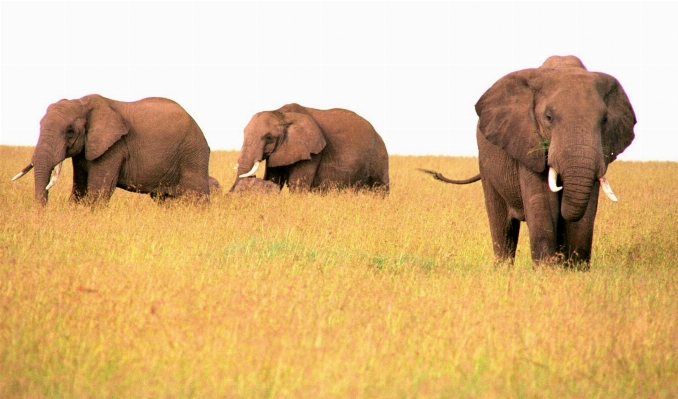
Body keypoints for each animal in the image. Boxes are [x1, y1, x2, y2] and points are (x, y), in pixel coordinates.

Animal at [12, 95, 218, 205]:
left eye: (70, 132)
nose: (43, 212)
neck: (82, 103)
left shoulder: (114, 148)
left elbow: (99, 191)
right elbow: (79, 189)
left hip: (192, 152)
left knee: (197, 197)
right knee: (165, 200)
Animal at [231, 104, 390, 195]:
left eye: (269, 137)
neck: (281, 114)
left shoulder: (312, 153)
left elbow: (297, 186)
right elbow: (274, 179)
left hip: (378, 154)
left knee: (380, 188)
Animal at [424, 55, 636, 268]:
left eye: (605, 120)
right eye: (549, 117)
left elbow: (585, 214)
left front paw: (576, 270)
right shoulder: (527, 144)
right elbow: (542, 204)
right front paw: (546, 270)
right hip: (486, 164)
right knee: (502, 225)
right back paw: (502, 269)